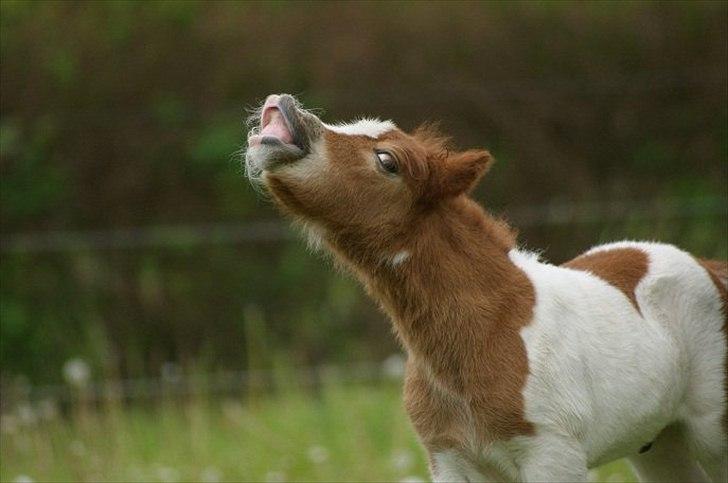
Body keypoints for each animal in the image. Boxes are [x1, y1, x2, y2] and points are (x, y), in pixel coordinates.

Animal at [246, 94, 728, 483]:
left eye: (387, 161)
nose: (282, 107)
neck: (487, 332)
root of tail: (709, 267)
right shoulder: (448, 458)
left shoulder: (553, 455)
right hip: (658, 443)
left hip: (712, 433)